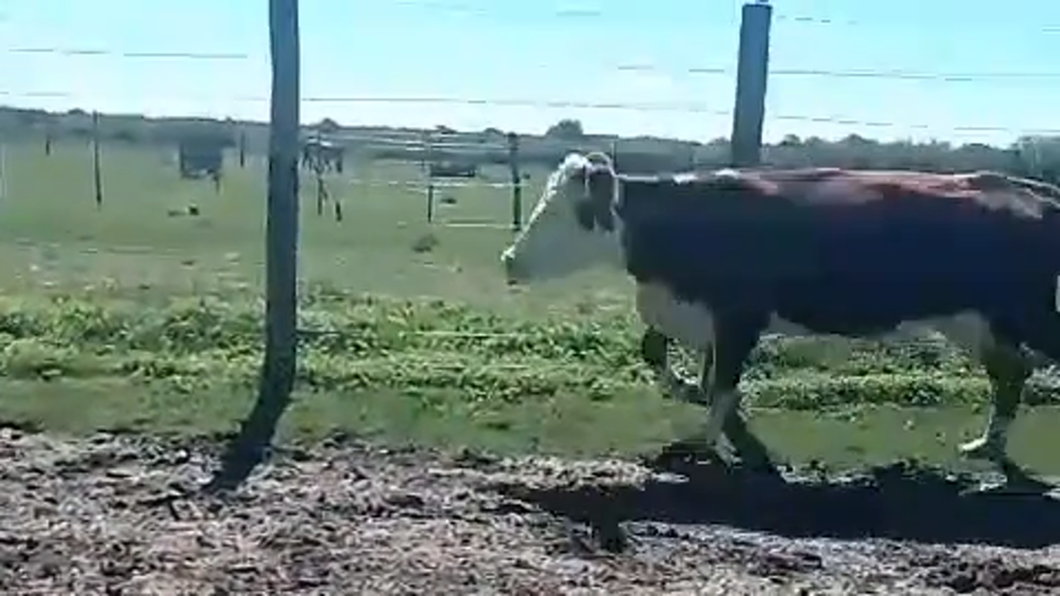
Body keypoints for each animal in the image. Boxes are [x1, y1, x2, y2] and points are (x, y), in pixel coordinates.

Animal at [499, 151, 1060, 479]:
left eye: (571, 213)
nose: (509, 260)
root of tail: (1028, 189)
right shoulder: (696, 314)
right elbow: (668, 357)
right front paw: (720, 422)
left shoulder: (739, 316)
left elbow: (722, 384)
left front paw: (701, 445)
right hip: (976, 320)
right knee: (1010, 374)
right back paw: (987, 445)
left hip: (1024, 312)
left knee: (1017, 370)